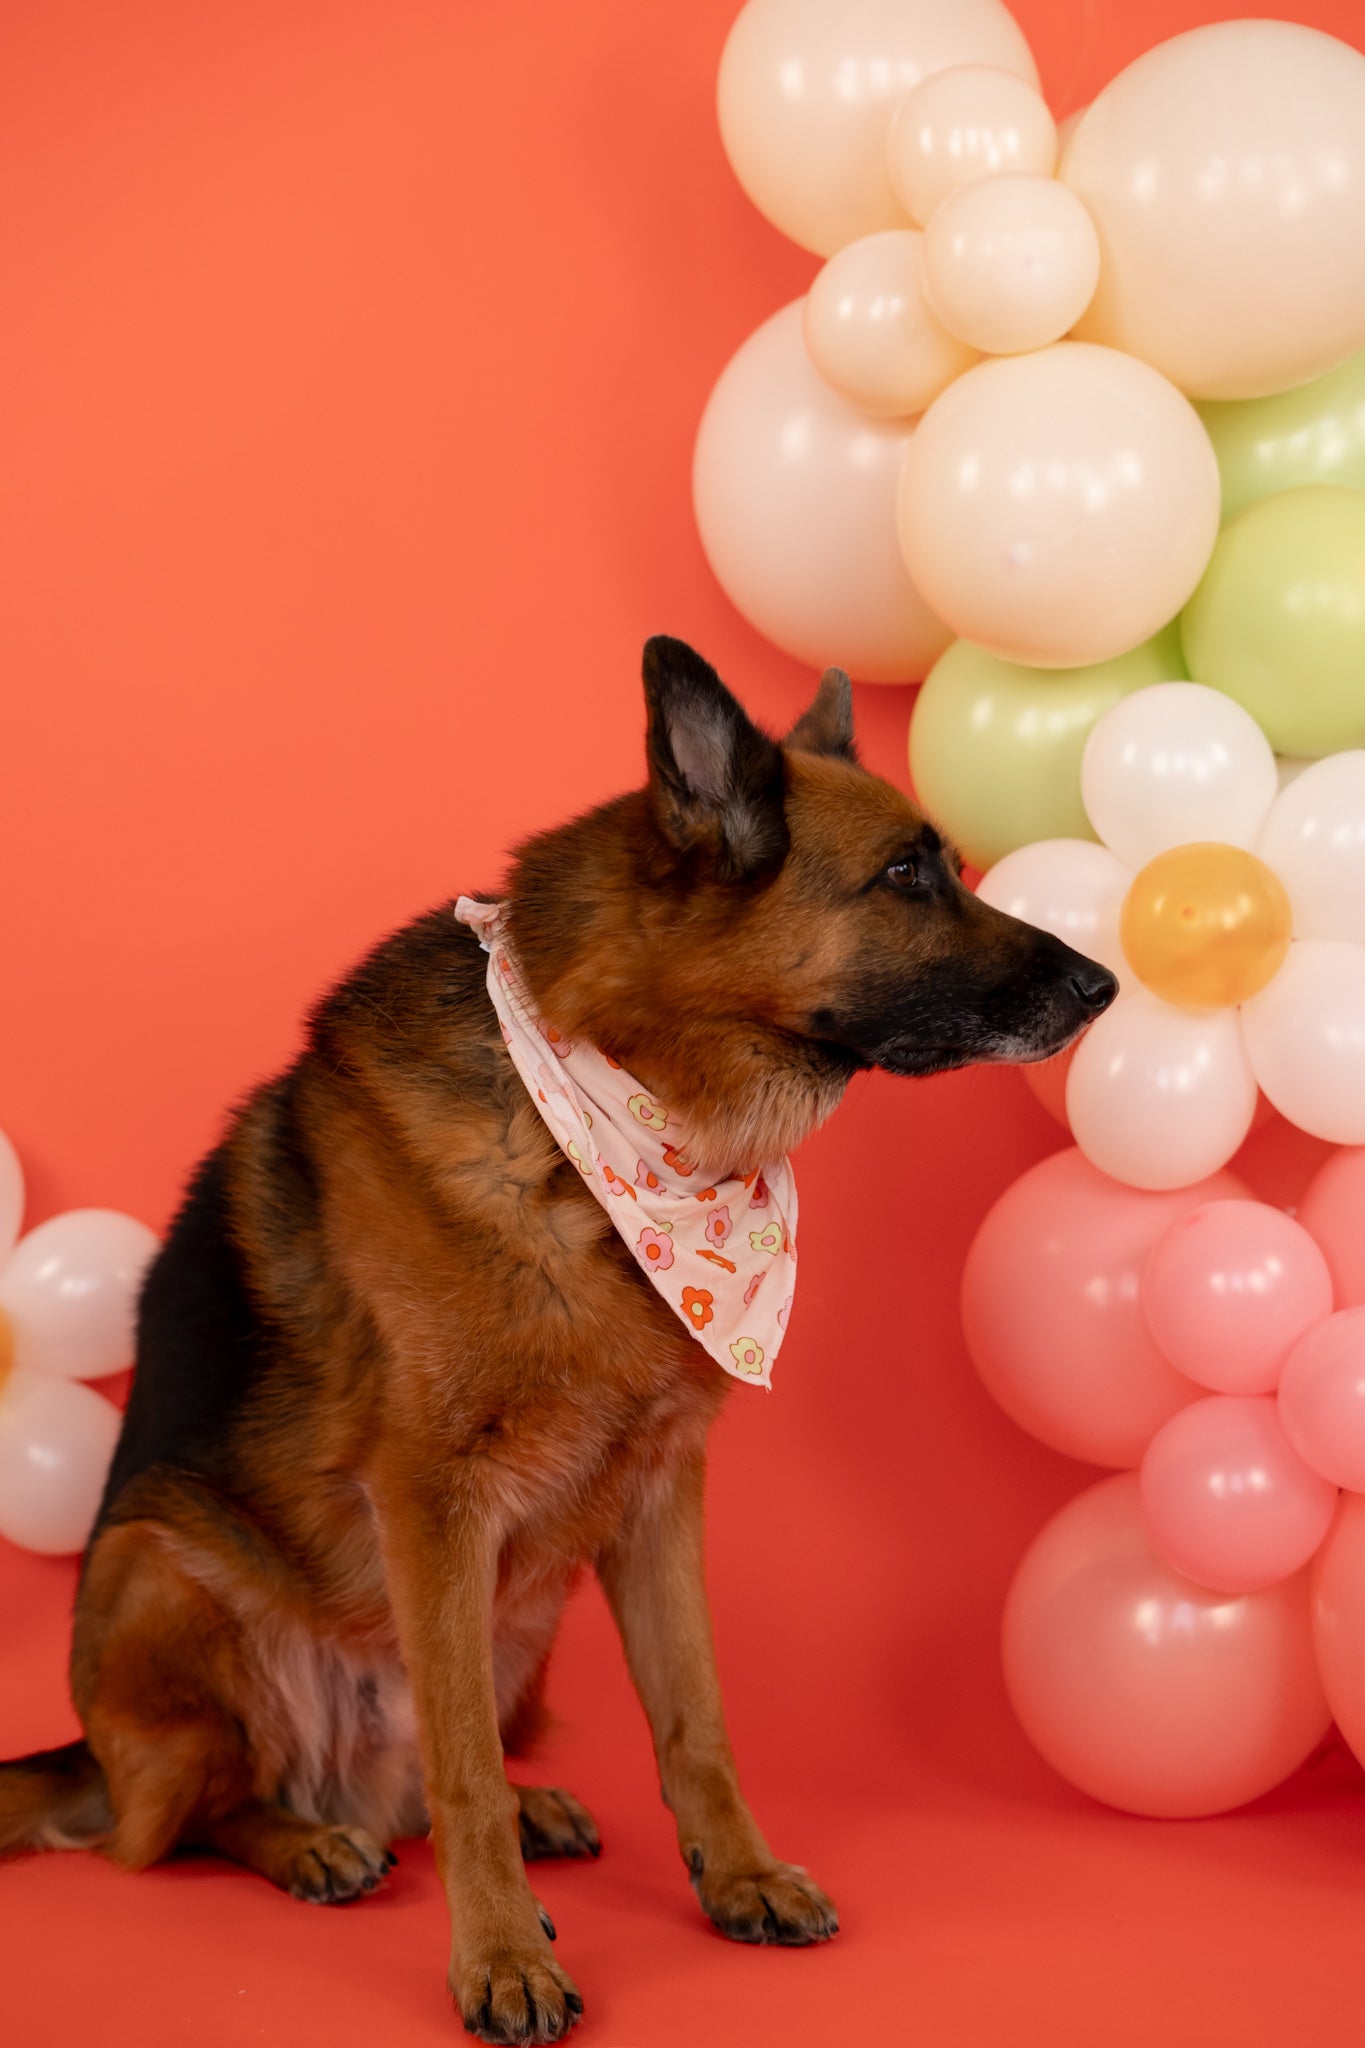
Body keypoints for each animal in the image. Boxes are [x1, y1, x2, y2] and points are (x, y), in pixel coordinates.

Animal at [0, 634, 1113, 2031]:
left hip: (524, 1613)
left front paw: (737, 1874)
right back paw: (309, 1841)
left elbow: (695, 1714)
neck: (612, 1120)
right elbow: (464, 1765)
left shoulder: (663, 1486)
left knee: (411, 1776)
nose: (1105, 982)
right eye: (906, 877)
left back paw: (503, 1817)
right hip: (161, 1566)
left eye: (948, 865)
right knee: (199, 1816)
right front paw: (500, 1956)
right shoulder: (431, 1501)